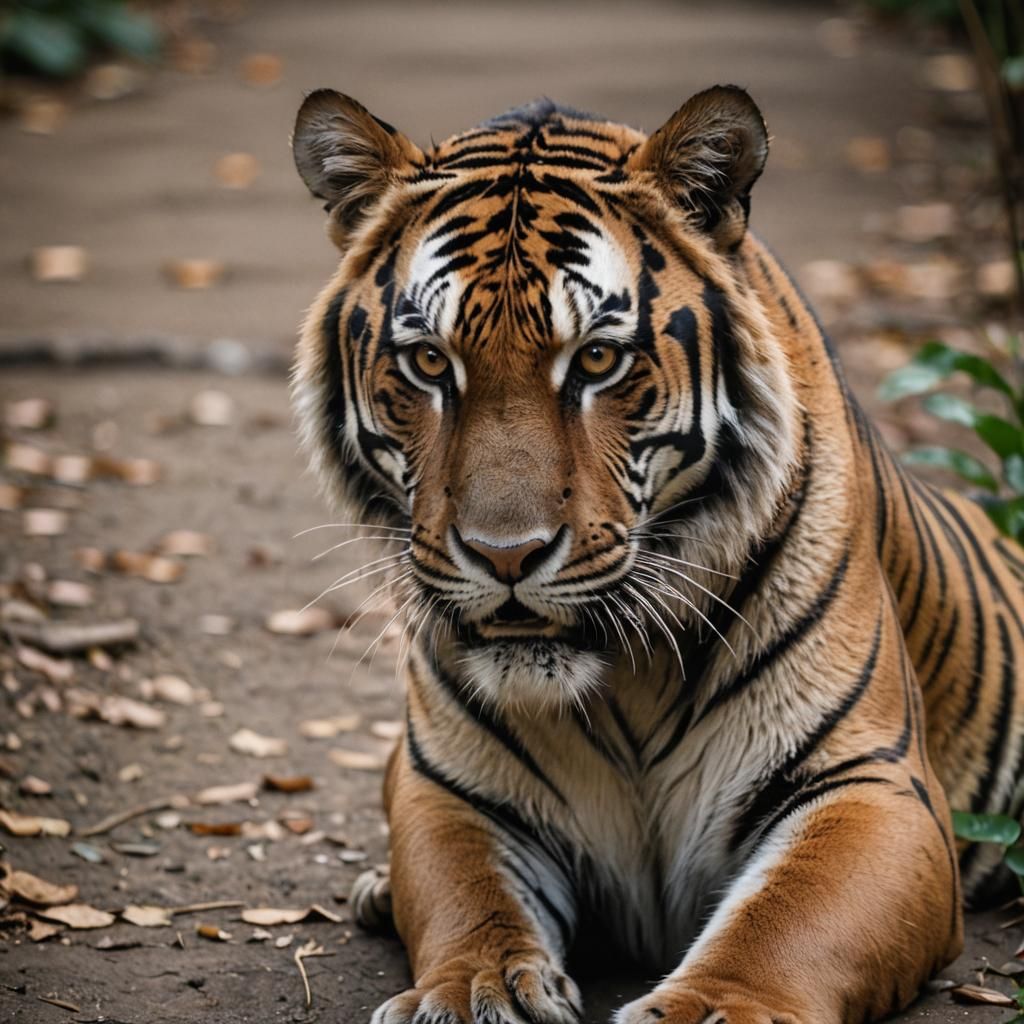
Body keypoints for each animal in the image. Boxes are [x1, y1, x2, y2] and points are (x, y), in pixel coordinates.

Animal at [290, 85, 1024, 1024]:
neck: (621, 685)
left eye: (598, 359)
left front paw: (713, 1008)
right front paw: (472, 990)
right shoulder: (448, 785)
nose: (505, 556)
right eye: (427, 362)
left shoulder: (874, 786)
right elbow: (465, 894)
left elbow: (784, 922)